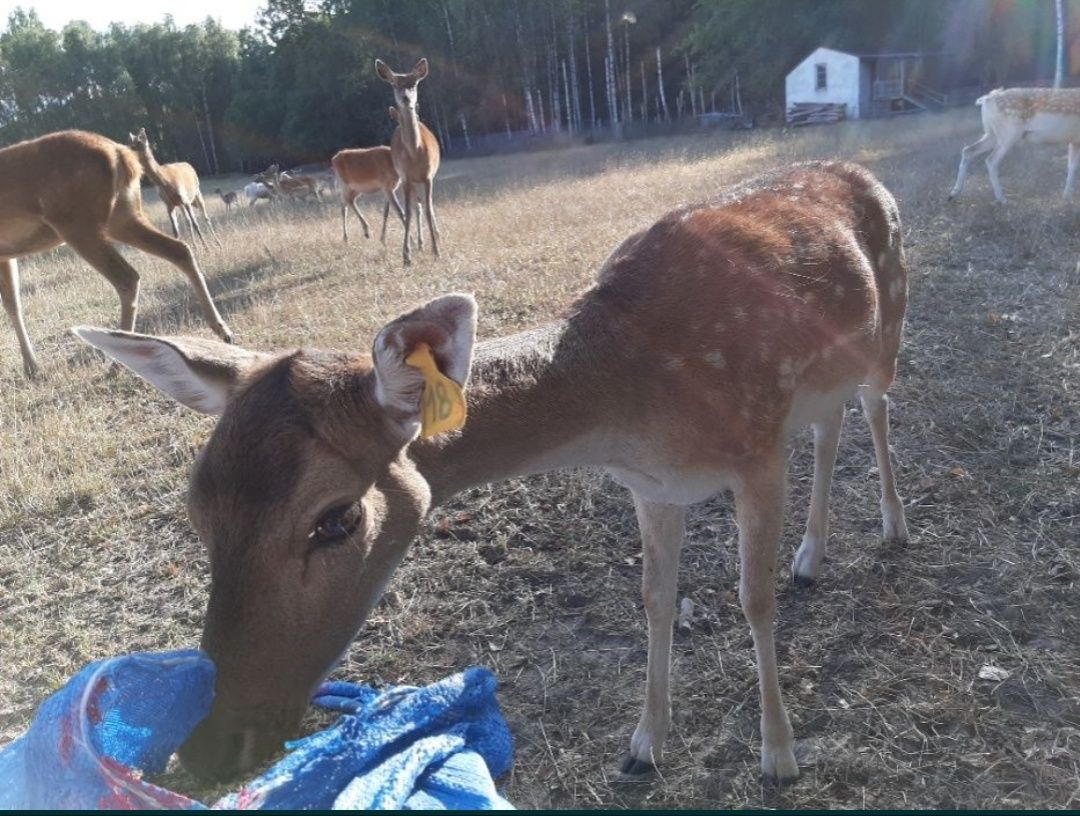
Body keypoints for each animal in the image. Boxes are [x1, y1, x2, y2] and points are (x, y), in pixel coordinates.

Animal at [0, 128, 232, 377]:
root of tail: (121, 154)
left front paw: (30, 368)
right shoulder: (6, 255)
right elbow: (13, 305)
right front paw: (31, 368)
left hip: (77, 222)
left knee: (127, 277)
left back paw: (116, 364)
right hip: (122, 216)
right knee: (179, 250)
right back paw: (222, 330)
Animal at [73, 159, 911, 785]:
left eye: (336, 517)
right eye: (198, 510)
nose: (207, 750)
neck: (634, 405)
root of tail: (864, 171)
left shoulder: (757, 449)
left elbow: (751, 599)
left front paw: (779, 755)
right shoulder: (653, 487)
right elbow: (654, 601)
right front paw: (645, 744)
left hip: (888, 326)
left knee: (874, 410)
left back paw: (892, 529)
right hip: (827, 375)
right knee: (831, 426)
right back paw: (812, 555)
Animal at [371, 58, 438, 267]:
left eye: (414, 83)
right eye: (394, 84)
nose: (406, 98)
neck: (416, 154)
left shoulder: (428, 176)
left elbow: (429, 208)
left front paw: (436, 250)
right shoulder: (406, 177)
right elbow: (407, 212)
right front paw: (406, 255)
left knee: (424, 206)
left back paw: (434, 238)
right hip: (407, 181)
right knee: (416, 206)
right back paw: (420, 244)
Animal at [950, 85, 1080, 204]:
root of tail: (987, 99)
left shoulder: (1074, 141)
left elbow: (1072, 166)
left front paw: (1066, 196)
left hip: (991, 134)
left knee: (968, 150)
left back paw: (953, 193)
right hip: (1009, 134)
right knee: (991, 160)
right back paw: (1002, 199)